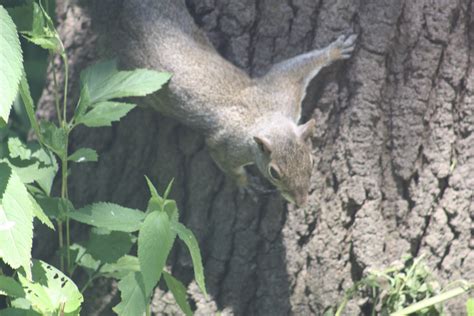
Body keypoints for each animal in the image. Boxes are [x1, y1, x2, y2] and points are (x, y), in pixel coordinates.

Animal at [126, 0, 356, 206]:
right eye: (274, 173)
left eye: (311, 160)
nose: (301, 202)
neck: (265, 116)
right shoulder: (227, 147)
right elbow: (226, 163)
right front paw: (245, 183)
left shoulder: (284, 89)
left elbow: (299, 64)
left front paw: (335, 51)